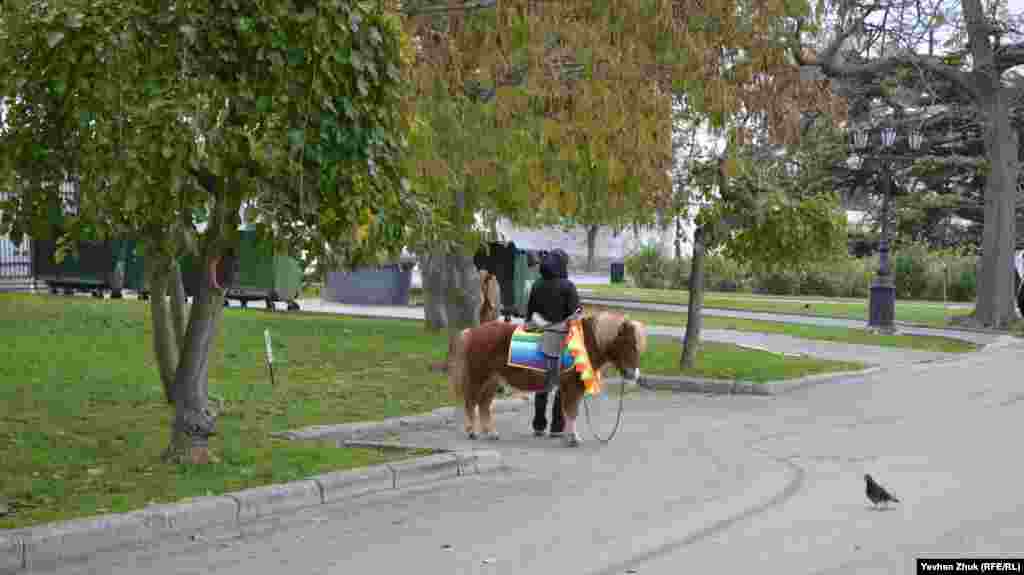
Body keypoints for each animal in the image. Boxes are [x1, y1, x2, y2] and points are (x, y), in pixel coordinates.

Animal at [450, 311, 647, 446]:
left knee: (484, 405)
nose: (634, 374)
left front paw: (570, 436)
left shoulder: (574, 388)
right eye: (627, 343)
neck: (585, 342)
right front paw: (572, 438)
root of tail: (472, 332)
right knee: (471, 402)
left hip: (493, 379)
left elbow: (571, 411)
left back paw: (491, 433)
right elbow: (571, 411)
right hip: (479, 377)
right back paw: (472, 432)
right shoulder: (571, 386)